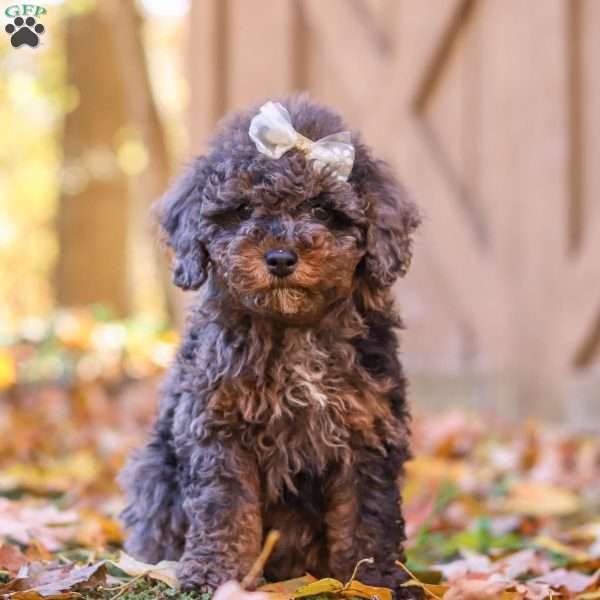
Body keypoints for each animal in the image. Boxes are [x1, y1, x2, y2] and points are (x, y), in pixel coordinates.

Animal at [118, 96, 422, 596]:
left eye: (321, 210)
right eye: (242, 210)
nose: (280, 257)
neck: (292, 330)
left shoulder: (367, 430)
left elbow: (367, 514)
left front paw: (376, 579)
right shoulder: (217, 426)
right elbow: (225, 506)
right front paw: (215, 575)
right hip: (155, 474)